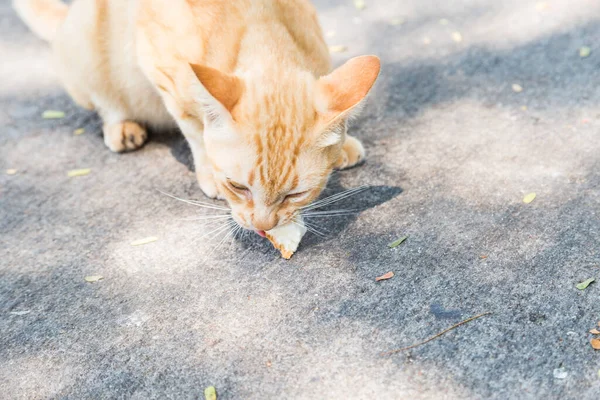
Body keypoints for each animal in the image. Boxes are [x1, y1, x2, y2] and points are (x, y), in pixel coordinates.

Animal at [14, 0, 380, 234]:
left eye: (294, 195)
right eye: (237, 187)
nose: (263, 227)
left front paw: (344, 145)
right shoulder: (162, 73)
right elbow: (195, 131)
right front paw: (209, 173)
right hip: (87, 53)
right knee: (106, 102)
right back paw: (122, 126)